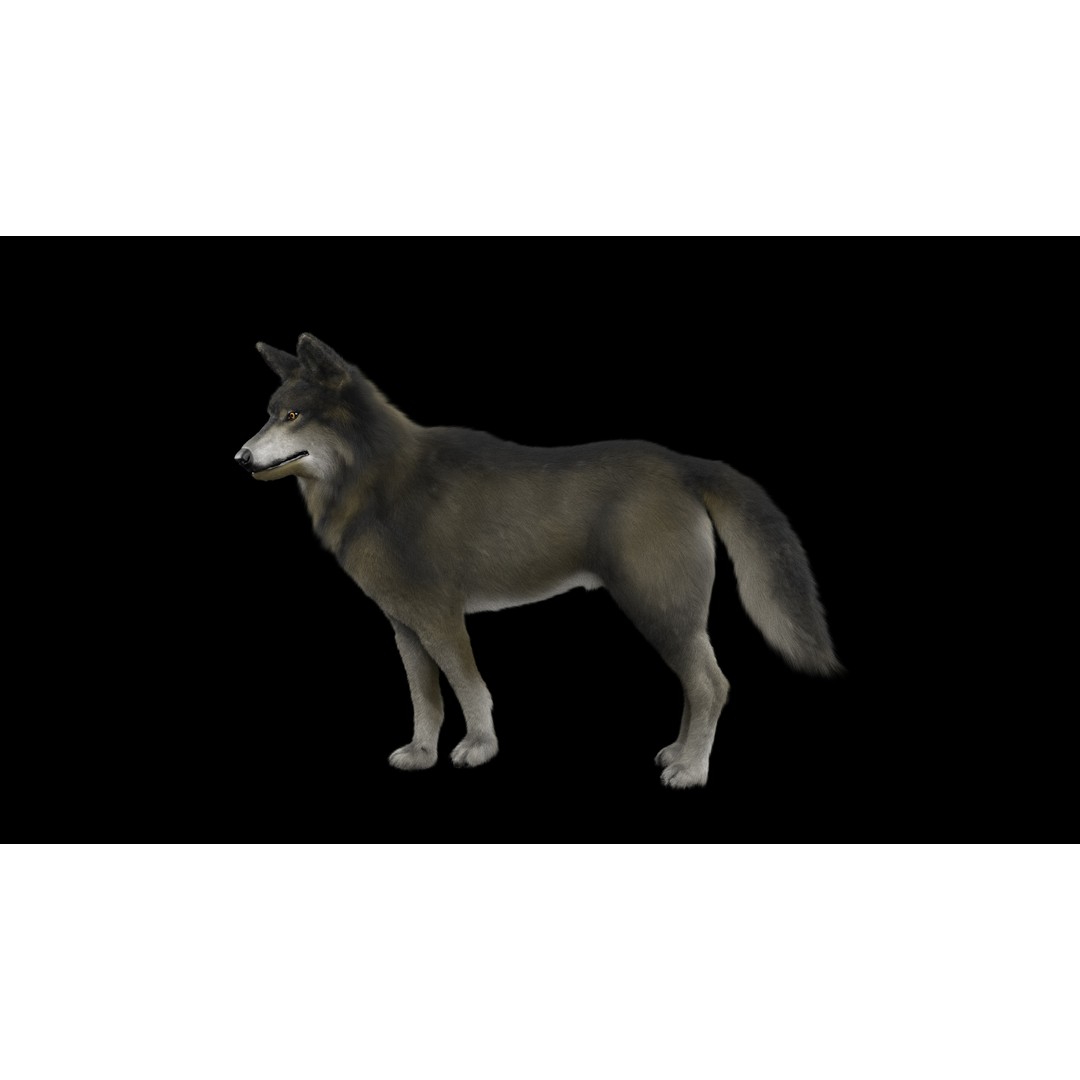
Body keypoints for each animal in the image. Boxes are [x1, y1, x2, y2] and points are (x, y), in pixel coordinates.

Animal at [235, 334, 840, 787]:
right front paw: (421, 754)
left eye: (292, 415)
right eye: (268, 415)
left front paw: (478, 748)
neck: (376, 481)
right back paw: (677, 752)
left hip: (659, 609)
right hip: (669, 616)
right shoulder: (405, 627)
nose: (239, 458)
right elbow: (426, 700)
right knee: (696, 686)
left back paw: (692, 770)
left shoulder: (441, 619)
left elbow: (470, 688)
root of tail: (684, 466)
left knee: (712, 686)